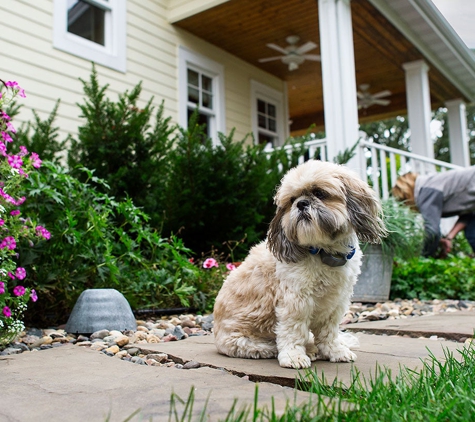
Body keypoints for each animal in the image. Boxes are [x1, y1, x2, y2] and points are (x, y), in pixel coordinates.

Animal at [214, 160, 388, 368]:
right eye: (291, 200)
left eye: (320, 193)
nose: (301, 203)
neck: (323, 252)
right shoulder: (296, 300)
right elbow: (293, 330)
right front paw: (293, 356)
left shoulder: (336, 302)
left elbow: (329, 332)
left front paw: (335, 350)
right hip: (246, 342)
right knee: (268, 346)